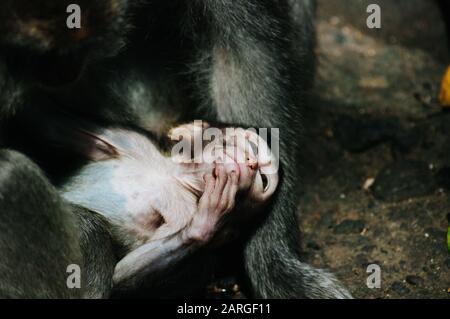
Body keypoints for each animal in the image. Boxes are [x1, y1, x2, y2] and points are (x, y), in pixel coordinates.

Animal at [59, 121, 278, 288]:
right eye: (249, 144)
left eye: (262, 181)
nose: (251, 163)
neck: (175, 176)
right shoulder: (134, 141)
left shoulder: (185, 214)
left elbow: (118, 275)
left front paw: (209, 219)